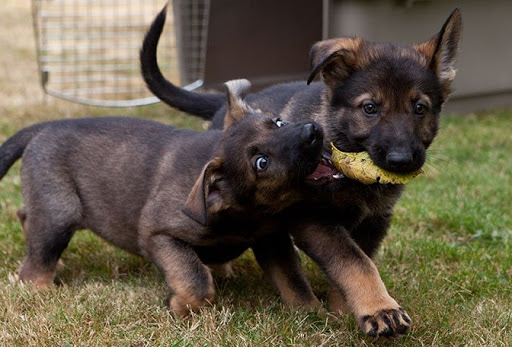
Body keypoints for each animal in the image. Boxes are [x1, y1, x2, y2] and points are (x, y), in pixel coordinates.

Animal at [0, 79, 326, 318]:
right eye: (261, 163)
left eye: (279, 123)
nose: (313, 130)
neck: (243, 213)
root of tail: (45, 126)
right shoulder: (159, 235)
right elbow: (196, 279)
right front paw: (181, 307)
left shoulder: (272, 241)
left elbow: (293, 280)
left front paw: (314, 313)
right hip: (58, 214)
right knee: (36, 263)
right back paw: (39, 289)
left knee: (25, 215)